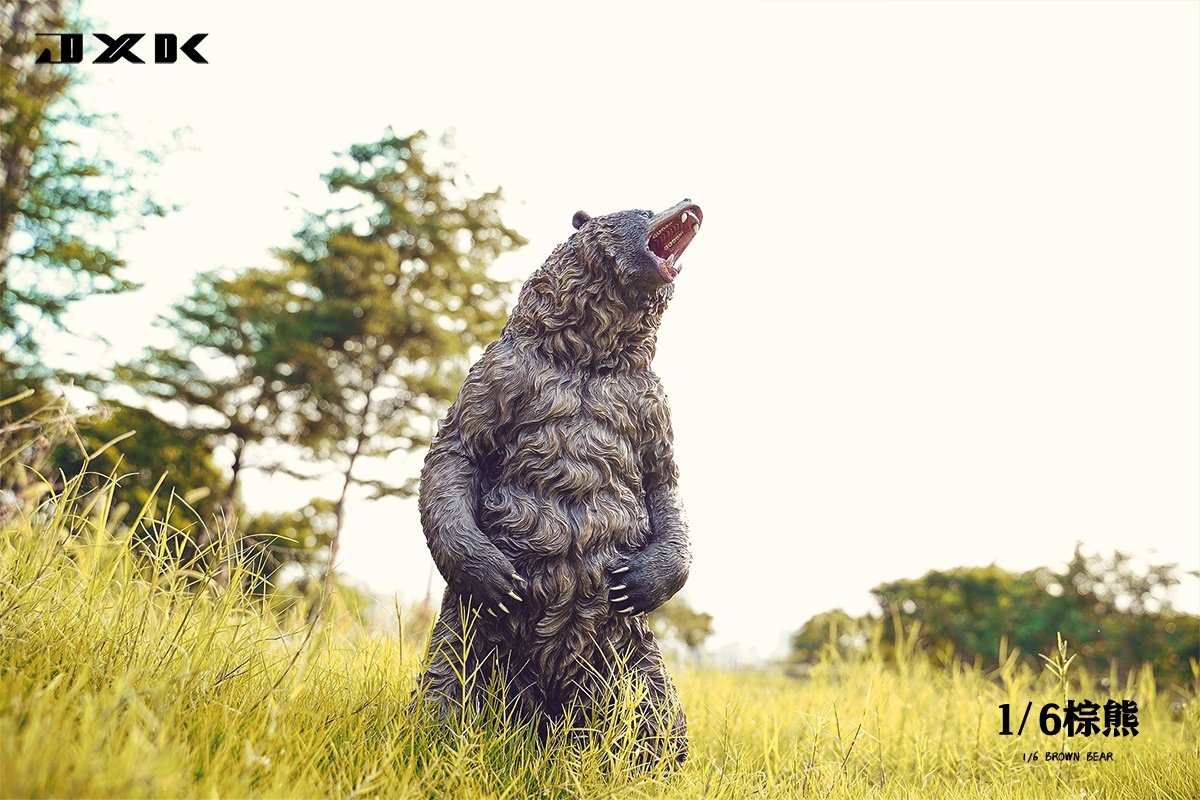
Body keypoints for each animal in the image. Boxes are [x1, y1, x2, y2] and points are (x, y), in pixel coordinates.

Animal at [416, 199, 703, 765]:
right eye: (643, 208)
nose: (690, 202)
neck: (589, 358)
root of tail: (544, 721)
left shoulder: (649, 403)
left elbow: (664, 483)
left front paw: (641, 579)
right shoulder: (501, 374)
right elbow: (455, 453)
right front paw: (496, 575)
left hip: (630, 653)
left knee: (656, 715)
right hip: (469, 632)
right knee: (448, 684)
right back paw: (438, 742)